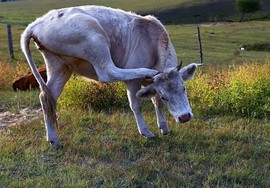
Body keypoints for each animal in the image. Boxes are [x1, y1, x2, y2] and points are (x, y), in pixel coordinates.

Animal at [20, 5, 200, 148]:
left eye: (184, 89)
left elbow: (156, 103)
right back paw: (146, 71)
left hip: (59, 66)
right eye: (165, 97)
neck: (153, 41)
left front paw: (163, 127)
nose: (184, 117)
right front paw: (146, 131)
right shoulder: (133, 83)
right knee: (107, 71)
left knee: (47, 97)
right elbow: (136, 105)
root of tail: (39, 22)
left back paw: (53, 139)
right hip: (94, 39)